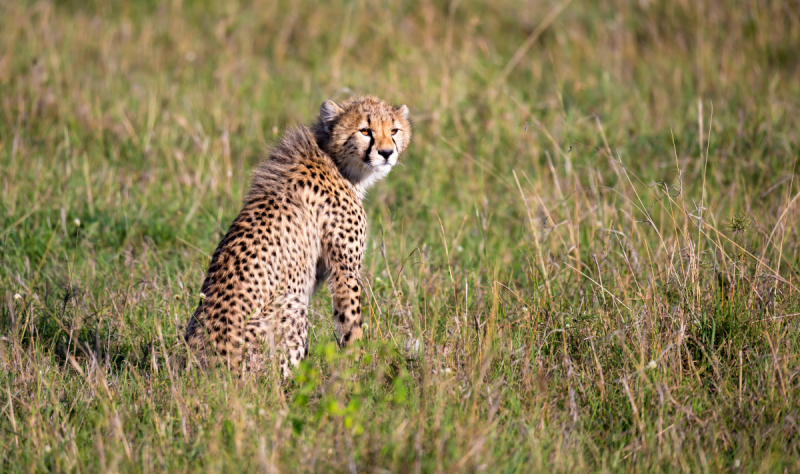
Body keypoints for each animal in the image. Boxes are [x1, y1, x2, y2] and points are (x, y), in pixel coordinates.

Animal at [184, 95, 410, 378]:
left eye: (394, 130)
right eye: (365, 131)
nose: (387, 153)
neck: (334, 159)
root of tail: (203, 370)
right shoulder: (345, 270)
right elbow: (350, 320)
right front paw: (358, 365)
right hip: (290, 305)